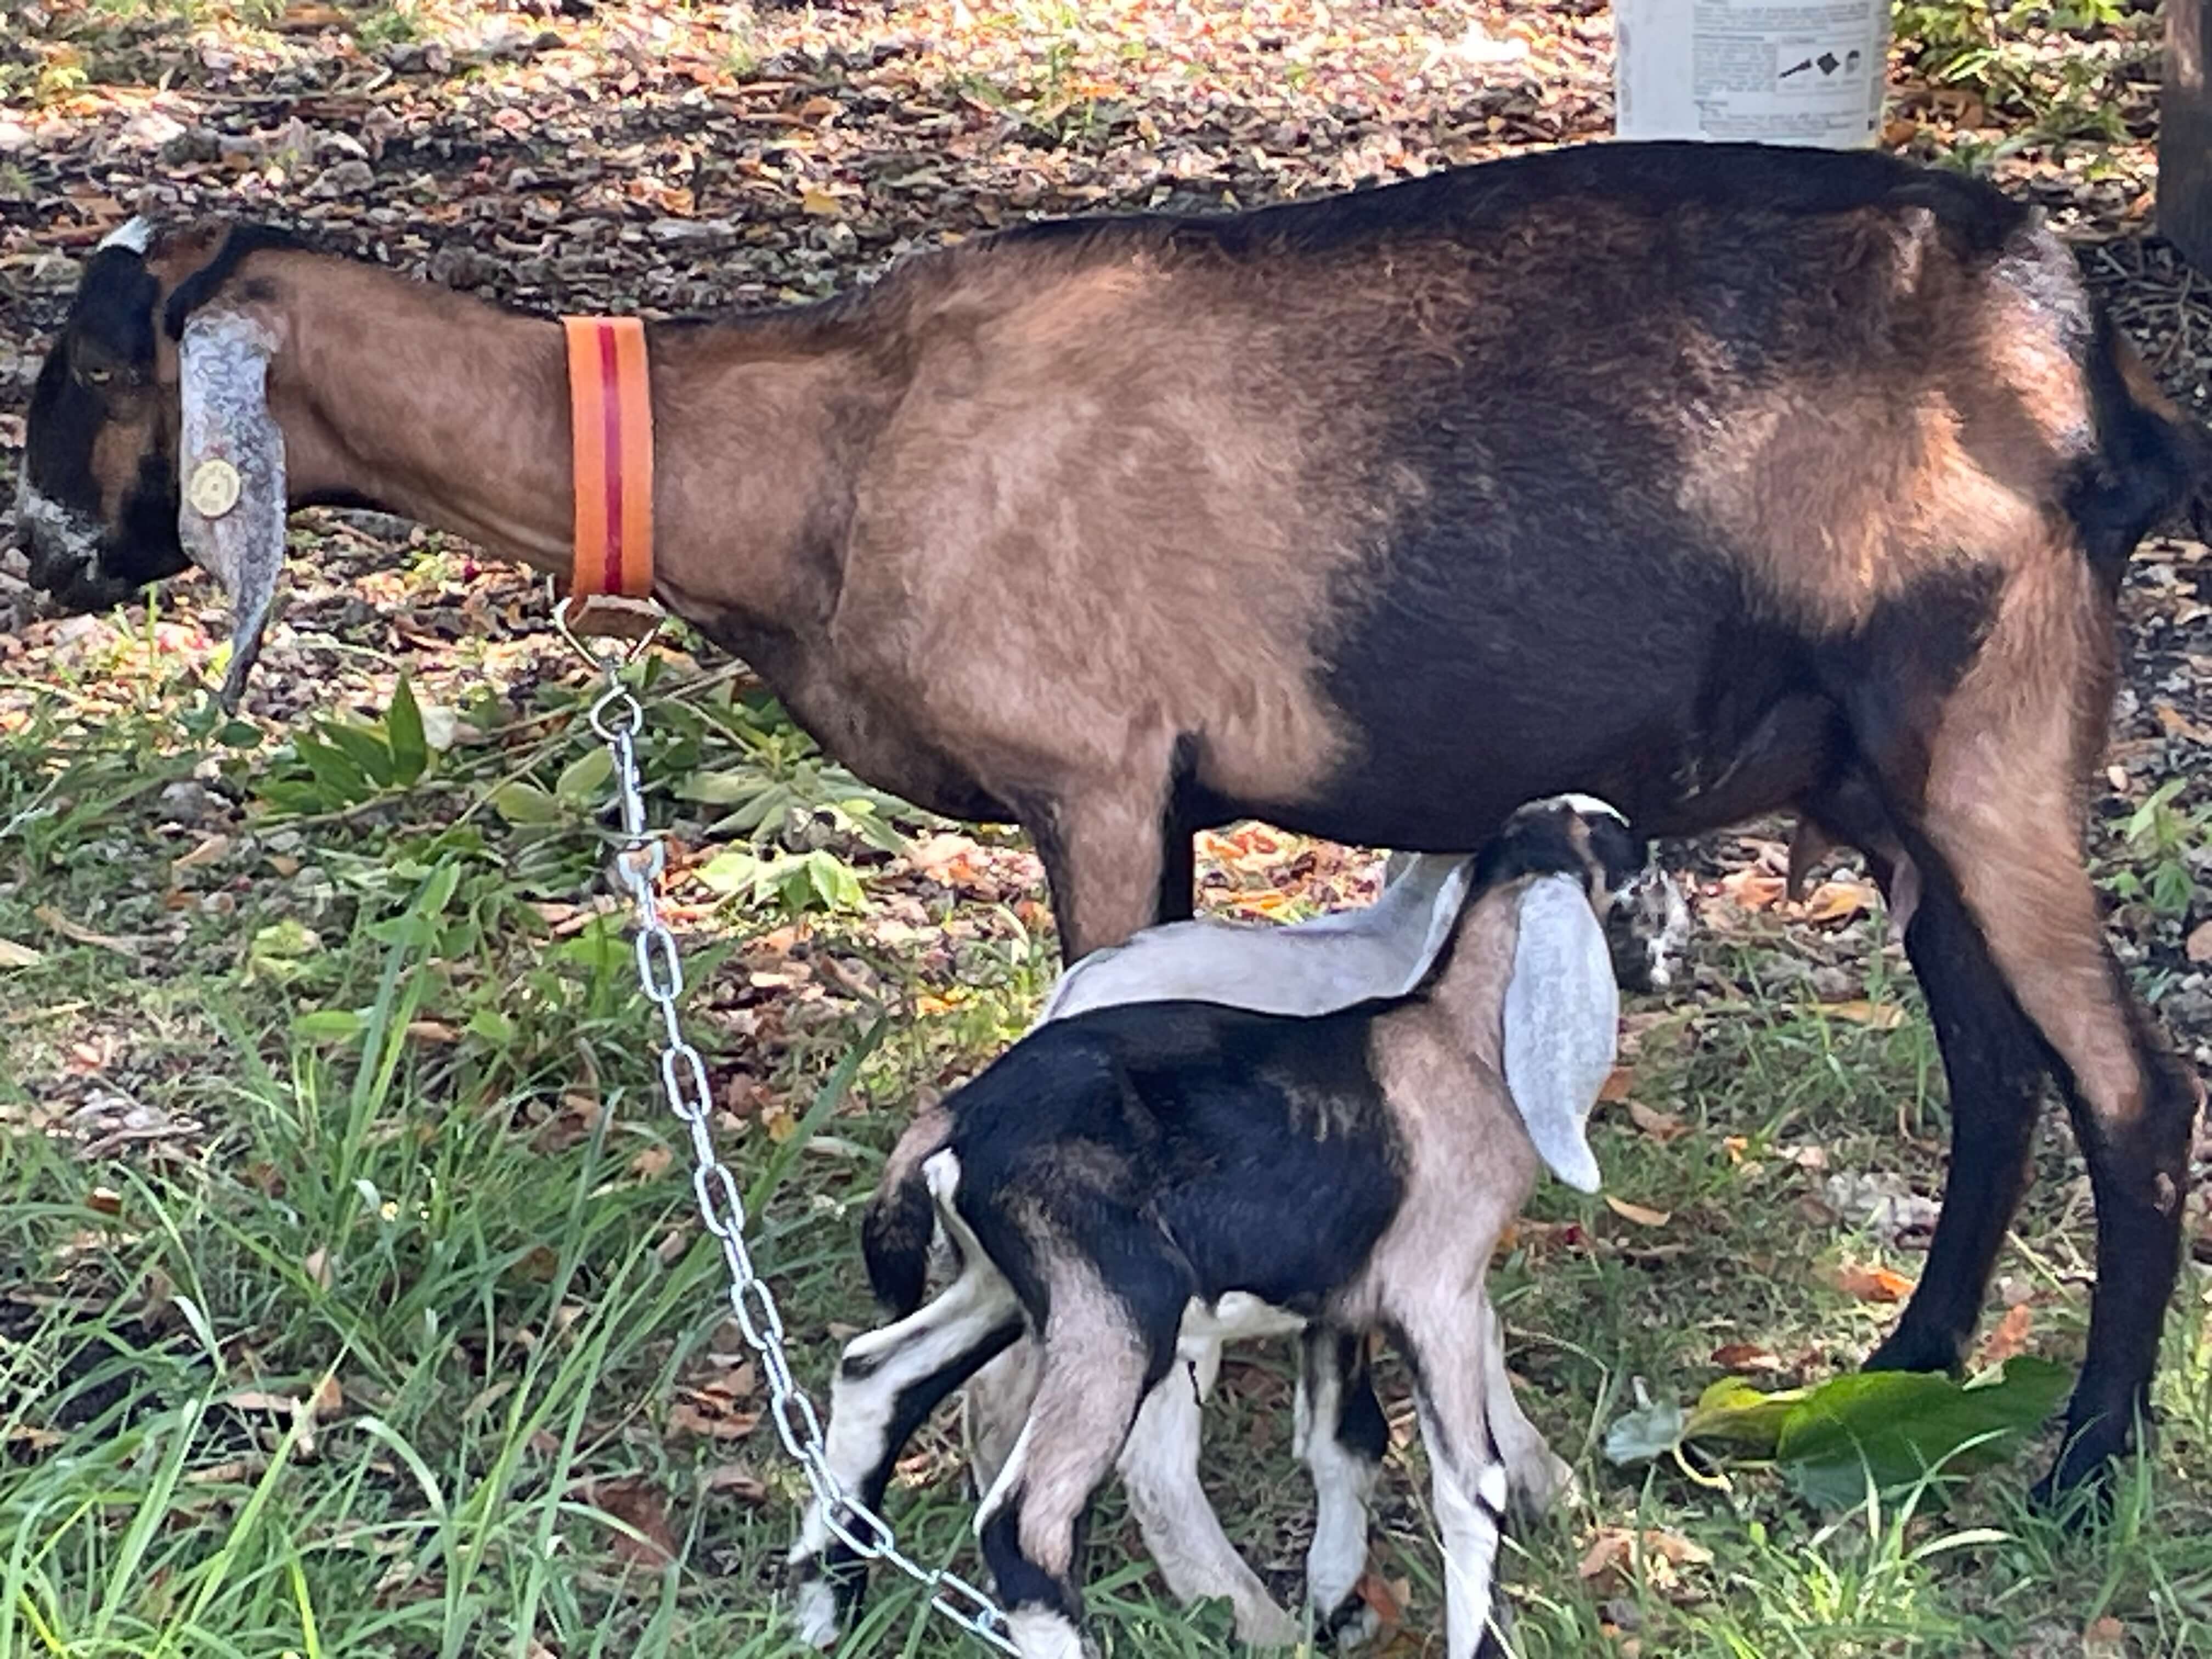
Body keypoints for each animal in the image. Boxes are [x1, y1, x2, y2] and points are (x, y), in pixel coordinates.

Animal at [15, 141, 2209, 1496]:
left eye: (90, 366)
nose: (42, 555)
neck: (827, 447)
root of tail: (2079, 366)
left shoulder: (1099, 774)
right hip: (1892, 779)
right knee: (1992, 1066)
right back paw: (1911, 1364)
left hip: (1995, 723)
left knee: (2126, 1083)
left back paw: (2082, 1455)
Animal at [789, 797, 1656, 1658]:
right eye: (1633, 871)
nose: (1670, 933)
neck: (1454, 1036)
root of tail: (961, 1118)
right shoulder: (1434, 1294)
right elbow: (1471, 1486)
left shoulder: (1336, 1301)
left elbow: (1347, 1442)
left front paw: (1336, 1605)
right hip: (1120, 1312)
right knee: (1028, 1518)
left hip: (1005, 1287)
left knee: (876, 1377)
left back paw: (823, 1610)